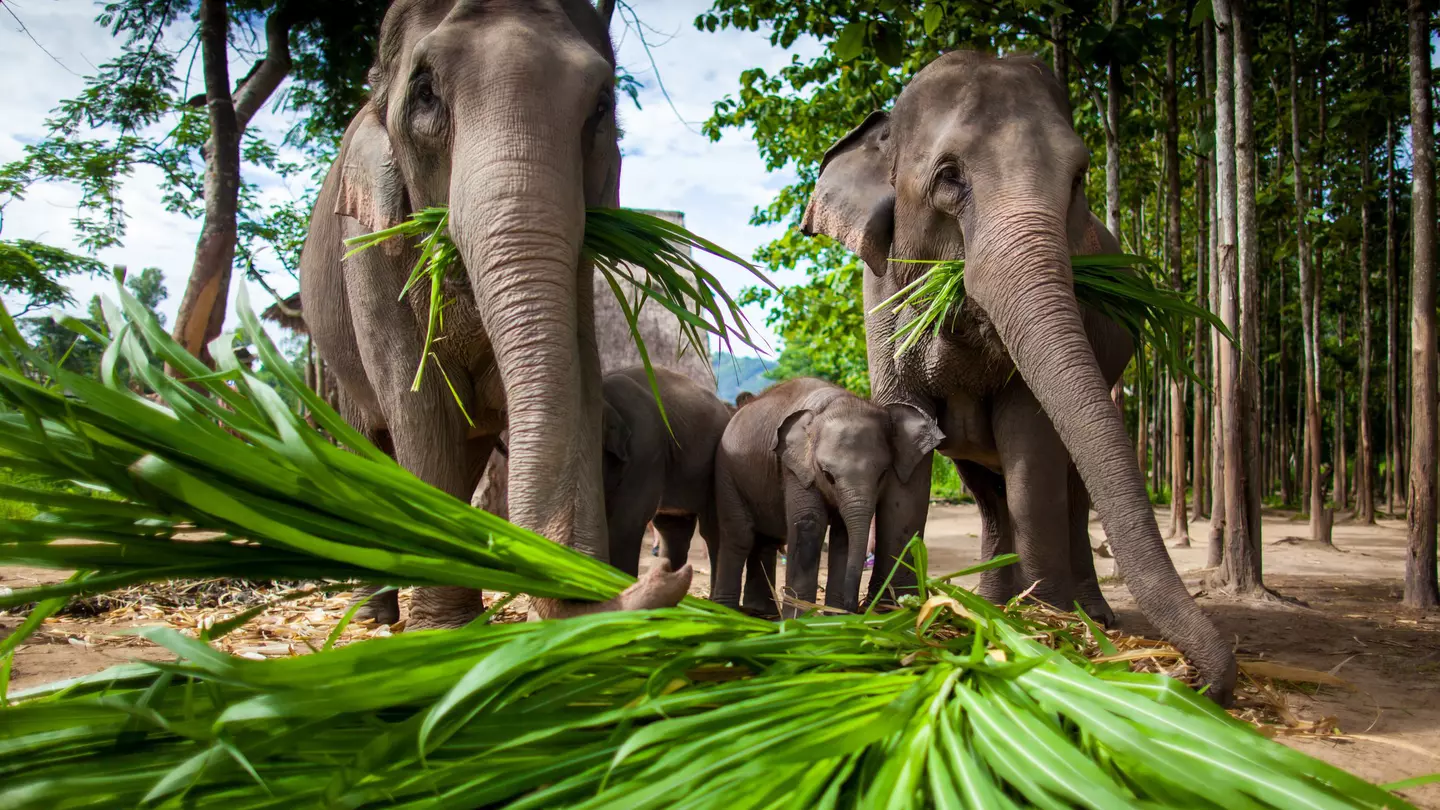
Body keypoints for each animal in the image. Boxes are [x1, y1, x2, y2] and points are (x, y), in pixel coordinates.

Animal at [298, 0, 690, 628]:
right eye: (425, 94)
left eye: (601, 107)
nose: (664, 575)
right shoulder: (367, 246)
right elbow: (418, 403)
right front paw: (443, 630)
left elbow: (578, 377)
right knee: (372, 439)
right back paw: (374, 615)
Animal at [711, 377, 942, 617]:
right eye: (827, 475)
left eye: (883, 474)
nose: (854, 607)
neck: (836, 401)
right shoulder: (795, 469)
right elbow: (809, 523)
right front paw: (801, 619)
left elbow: (843, 536)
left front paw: (835, 617)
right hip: (726, 473)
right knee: (740, 536)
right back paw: (726, 611)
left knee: (766, 540)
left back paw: (762, 612)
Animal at [800, 50, 1236, 701]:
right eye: (949, 176)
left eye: (1079, 177)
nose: (1196, 682)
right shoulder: (877, 299)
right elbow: (908, 438)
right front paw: (896, 614)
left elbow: (1032, 444)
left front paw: (1046, 624)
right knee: (985, 493)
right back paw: (988, 603)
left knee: (1069, 489)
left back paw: (1083, 614)